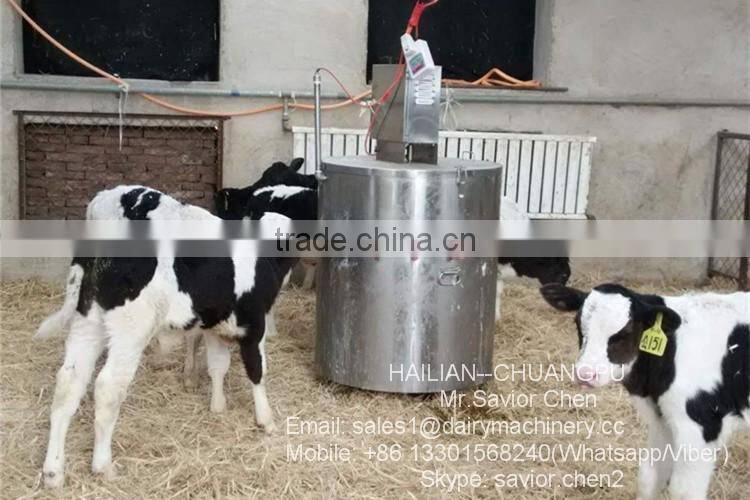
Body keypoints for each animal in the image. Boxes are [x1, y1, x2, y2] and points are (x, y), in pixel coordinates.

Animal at [540, 282, 749, 500]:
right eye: (577, 324)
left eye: (624, 333)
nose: (585, 374)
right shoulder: (663, 421)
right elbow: (648, 477)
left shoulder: (701, 425)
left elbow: (683, 491)